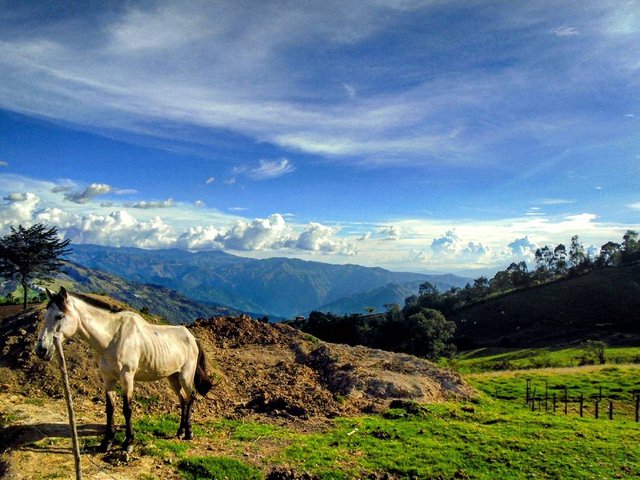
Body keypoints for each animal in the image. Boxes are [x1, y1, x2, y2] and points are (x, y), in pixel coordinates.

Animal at [35, 286, 212, 452]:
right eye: (46, 316)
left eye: (59, 316)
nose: (41, 350)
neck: (112, 337)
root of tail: (192, 338)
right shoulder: (108, 378)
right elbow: (110, 408)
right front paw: (106, 442)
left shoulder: (127, 377)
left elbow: (127, 409)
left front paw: (128, 442)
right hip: (172, 377)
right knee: (182, 399)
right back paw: (180, 431)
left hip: (185, 376)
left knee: (191, 397)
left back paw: (188, 432)